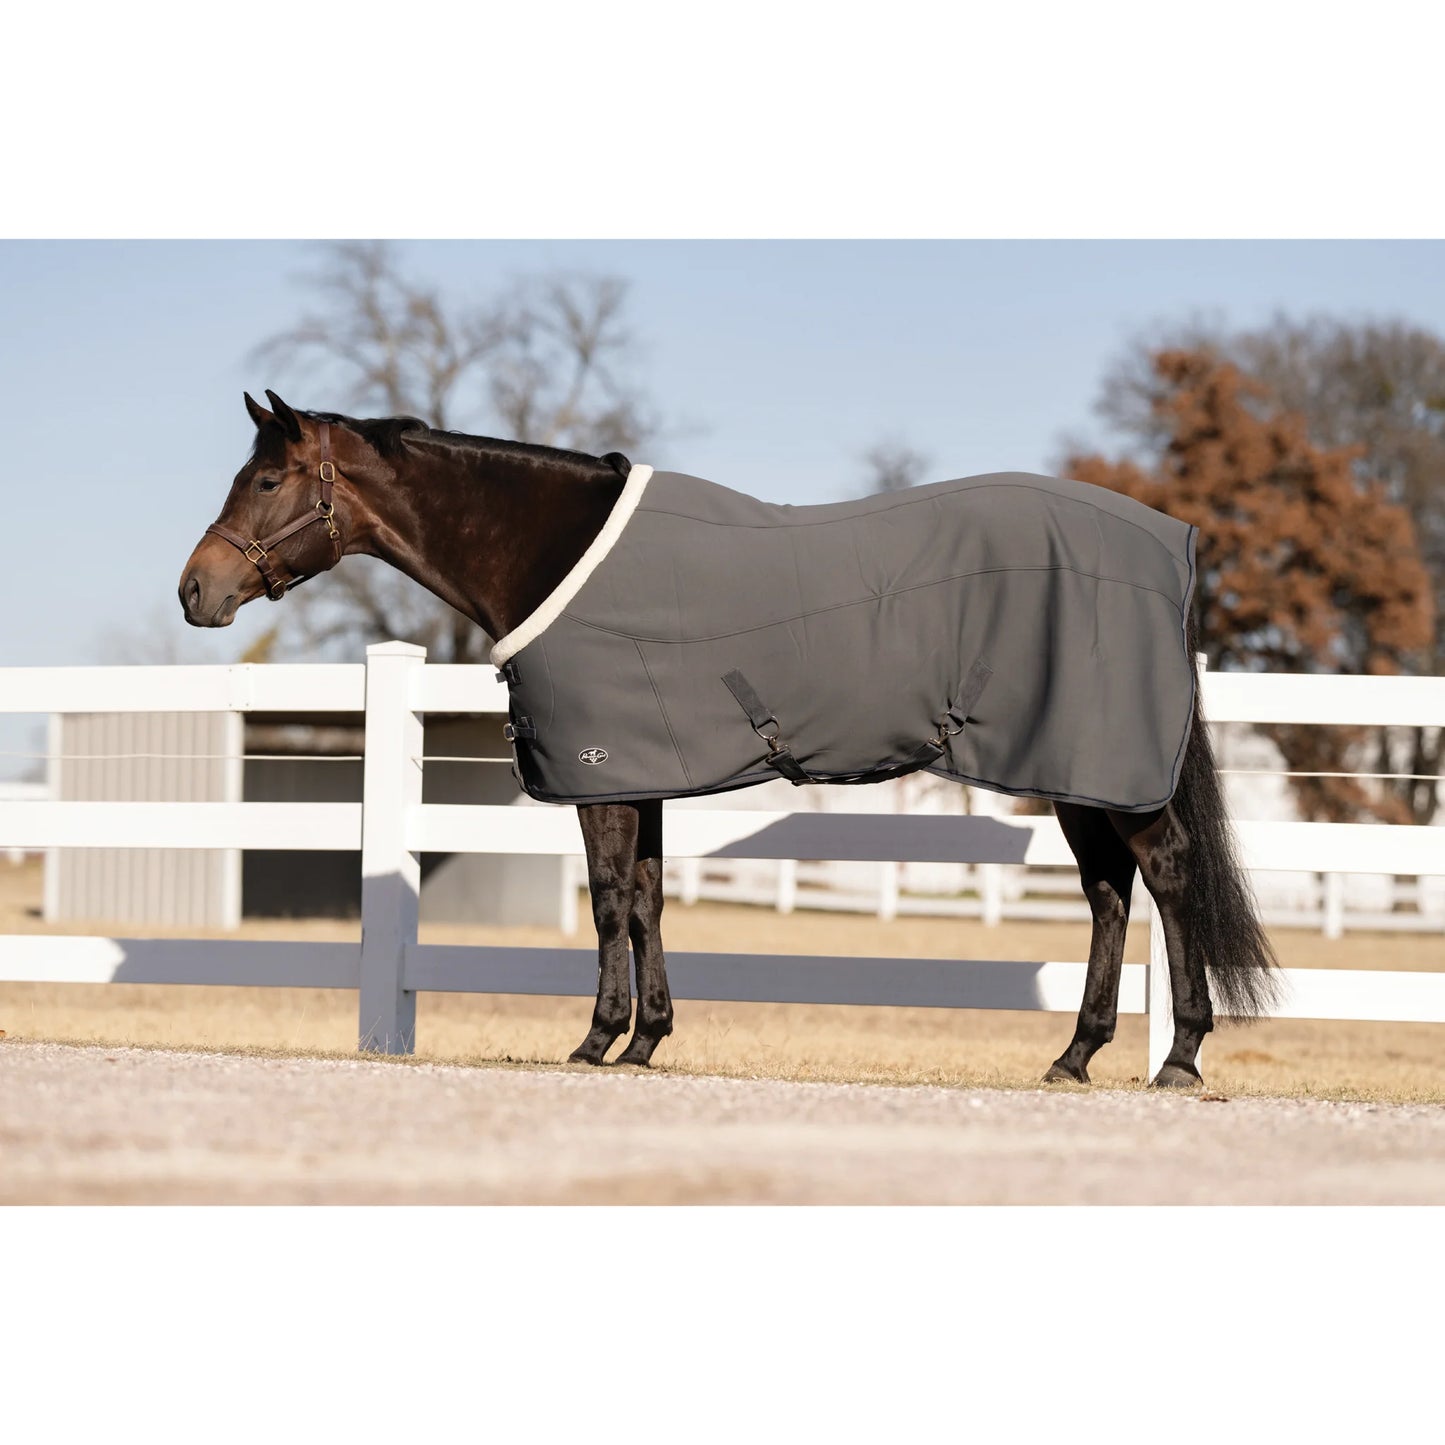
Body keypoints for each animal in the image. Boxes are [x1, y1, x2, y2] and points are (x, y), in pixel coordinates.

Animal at [179, 390, 1278, 1087]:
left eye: (268, 480)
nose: (196, 591)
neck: (551, 548)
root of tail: (1170, 544)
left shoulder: (602, 773)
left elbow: (607, 901)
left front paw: (595, 1041)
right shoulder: (642, 768)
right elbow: (648, 900)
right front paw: (648, 1040)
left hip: (1102, 767)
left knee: (1165, 876)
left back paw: (1177, 1055)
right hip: (1075, 770)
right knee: (1107, 891)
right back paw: (1074, 1055)